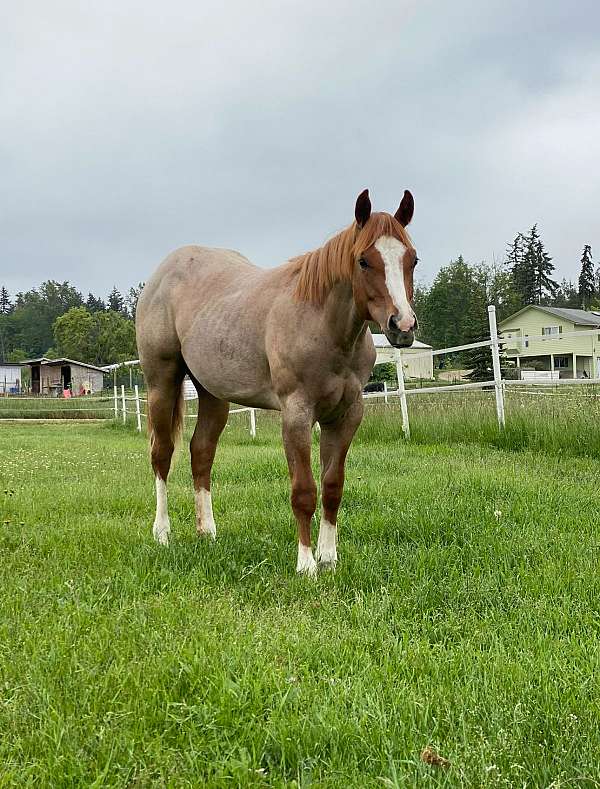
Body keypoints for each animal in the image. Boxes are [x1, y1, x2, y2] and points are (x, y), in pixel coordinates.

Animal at [136, 189, 418, 576]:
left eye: (413, 259)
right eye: (363, 261)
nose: (402, 325)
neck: (320, 323)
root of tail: (162, 273)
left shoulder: (346, 415)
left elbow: (332, 486)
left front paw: (329, 558)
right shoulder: (296, 415)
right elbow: (304, 491)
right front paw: (306, 564)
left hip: (212, 393)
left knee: (201, 452)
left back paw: (207, 532)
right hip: (161, 382)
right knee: (162, 455)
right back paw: (162, 533)